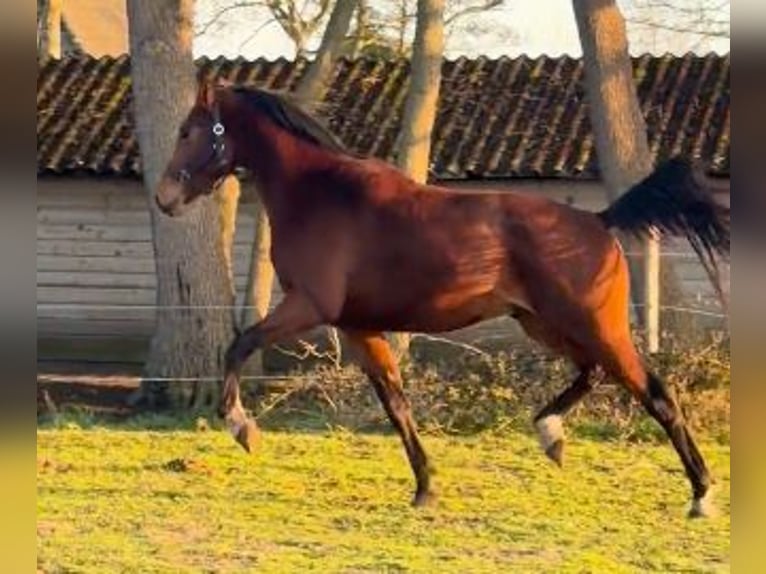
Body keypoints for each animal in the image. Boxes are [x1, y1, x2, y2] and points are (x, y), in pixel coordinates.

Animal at [156, 80, 729, 518]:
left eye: (187, 131)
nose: (164, 197)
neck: (321, 194)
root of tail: (599, 220)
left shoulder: (308, 306)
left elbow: (238, 344)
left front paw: (241, 427)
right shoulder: (357, 326)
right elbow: (395, 403)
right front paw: (425, 487)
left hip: (593, 325)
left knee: (656, 393)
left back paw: (701, 495)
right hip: (544, 323)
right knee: (592, 373)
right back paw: (551, 434)